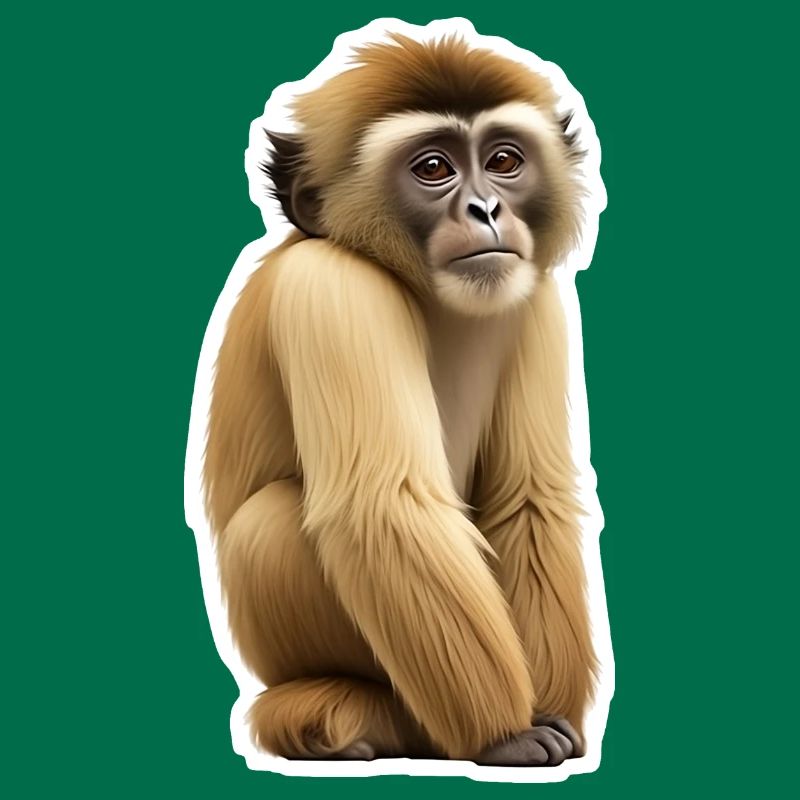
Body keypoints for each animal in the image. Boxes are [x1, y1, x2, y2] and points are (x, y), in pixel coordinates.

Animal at [203, 32, 599, 767]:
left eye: (504, 162)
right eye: (434, 168)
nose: (486, 209)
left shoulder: (535, 299)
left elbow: (527, 498)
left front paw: (552, 712)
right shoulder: (329, 287)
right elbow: (385, 507)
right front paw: (506, 731)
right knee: (274, 519)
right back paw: (335, 715)